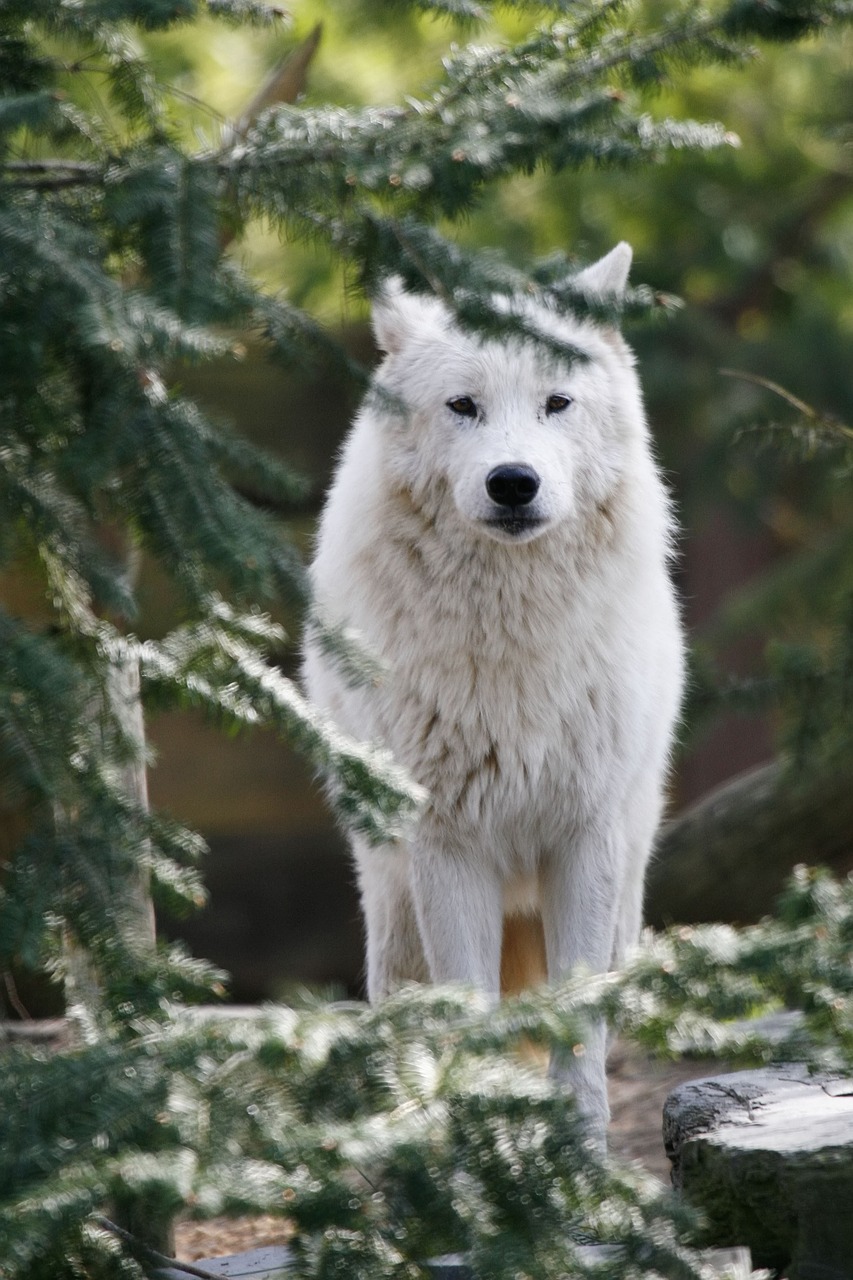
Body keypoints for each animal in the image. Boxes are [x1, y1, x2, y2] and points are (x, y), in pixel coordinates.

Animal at [302, 244, 681, 1136]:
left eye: (556, 402)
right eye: (463, 406)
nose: (514, 482)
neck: (511, 646)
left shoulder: (583, 838)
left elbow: (575, 1021)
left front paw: (580, 1153)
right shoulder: (446, 846)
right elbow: (469, 1013)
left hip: (623, 889)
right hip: (393, 900)